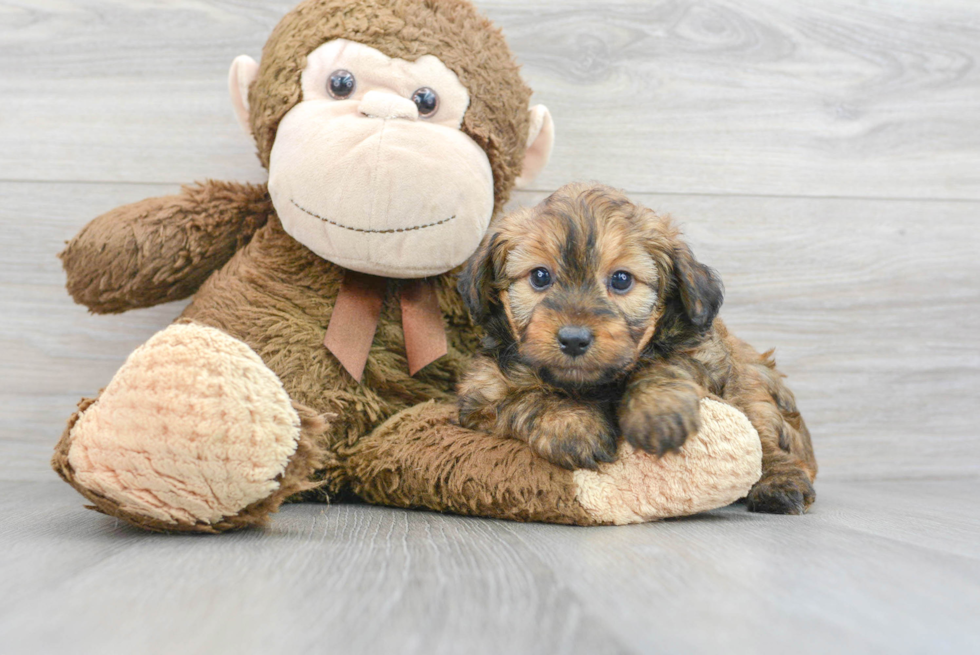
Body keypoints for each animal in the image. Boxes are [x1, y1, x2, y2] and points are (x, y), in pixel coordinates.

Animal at [460, 182, 820, 516]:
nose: (574, 338)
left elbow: (663, 364)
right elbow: (524, 399)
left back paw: (781, 485)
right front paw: (571, 425)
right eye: (539, 276)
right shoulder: (480, 395)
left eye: (621, 279)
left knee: (768, 442)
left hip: (755, 388)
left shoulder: (704, 354)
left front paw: (657, 411)